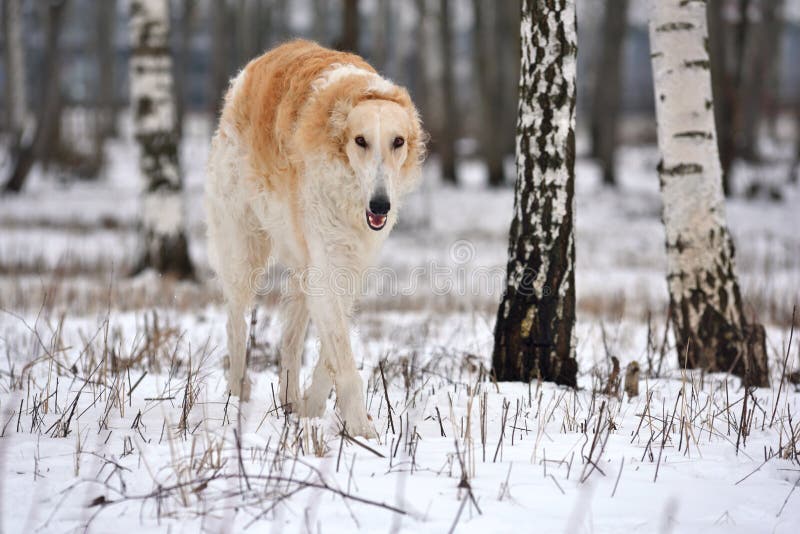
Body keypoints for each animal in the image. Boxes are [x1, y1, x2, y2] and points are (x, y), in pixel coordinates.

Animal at [205, 40, 424, 440]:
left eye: (398, 142)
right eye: (361, 141)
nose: (380, 205)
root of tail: (252, 67)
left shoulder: (348, 266)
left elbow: (330, 356)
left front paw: (314, 408)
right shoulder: (328, 263)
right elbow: (344, 359)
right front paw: (362, 431)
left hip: (301, 268)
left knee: (289, 342)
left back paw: (290, 403)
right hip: (243, 250)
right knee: (236, 324)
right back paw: (235, 397)